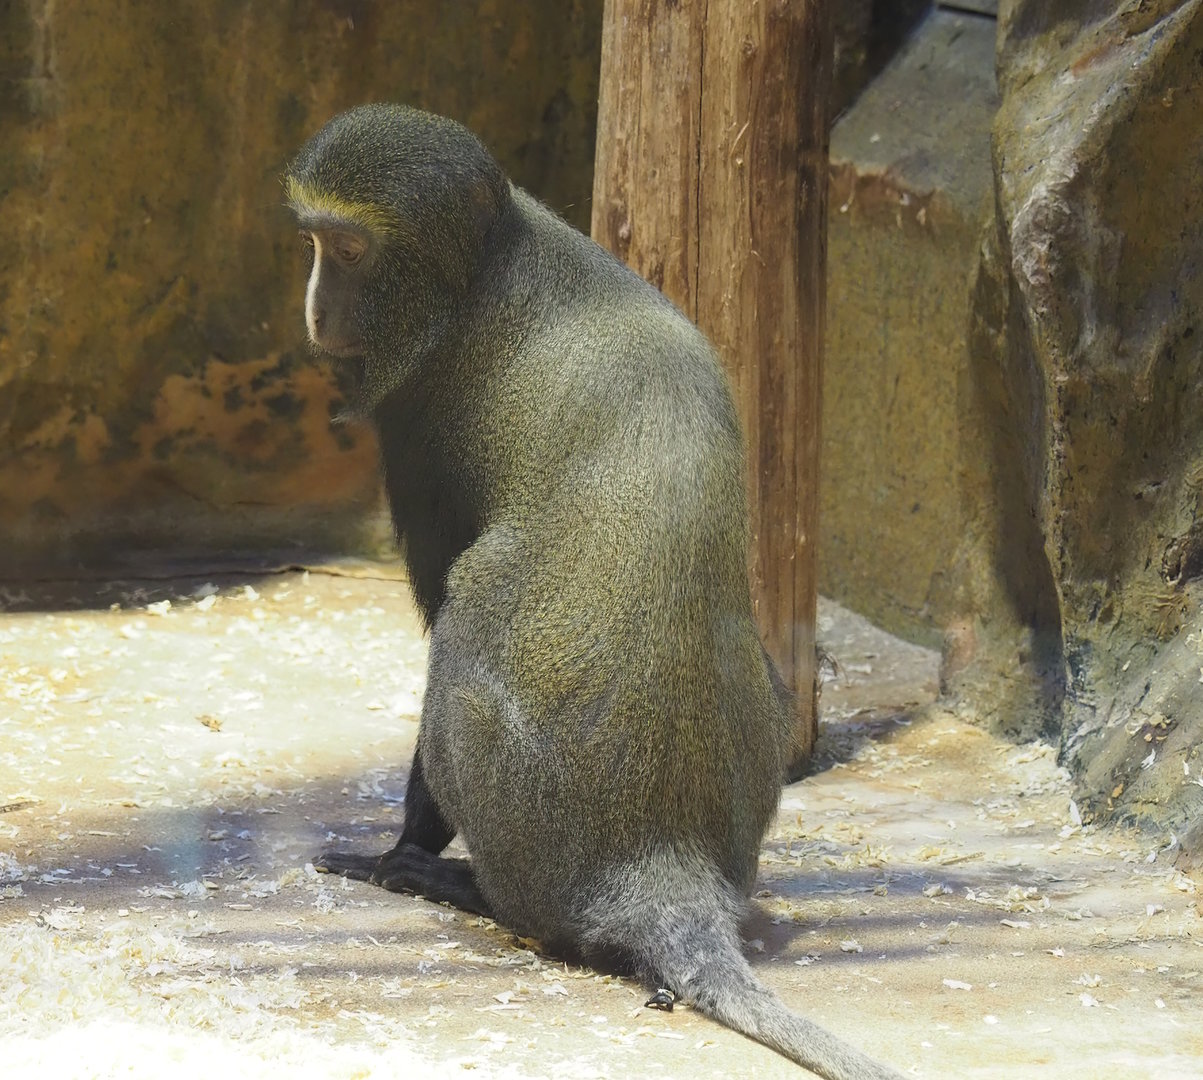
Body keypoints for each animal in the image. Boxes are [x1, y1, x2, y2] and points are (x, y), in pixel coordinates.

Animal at [284, 104, 904, 1080]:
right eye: (310, 242)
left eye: (345, 250)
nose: (315, 308)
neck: (493, 262)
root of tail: (663, 869)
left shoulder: (416, 423)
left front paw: (400, 848)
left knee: (458, 664)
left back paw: (455, 882)